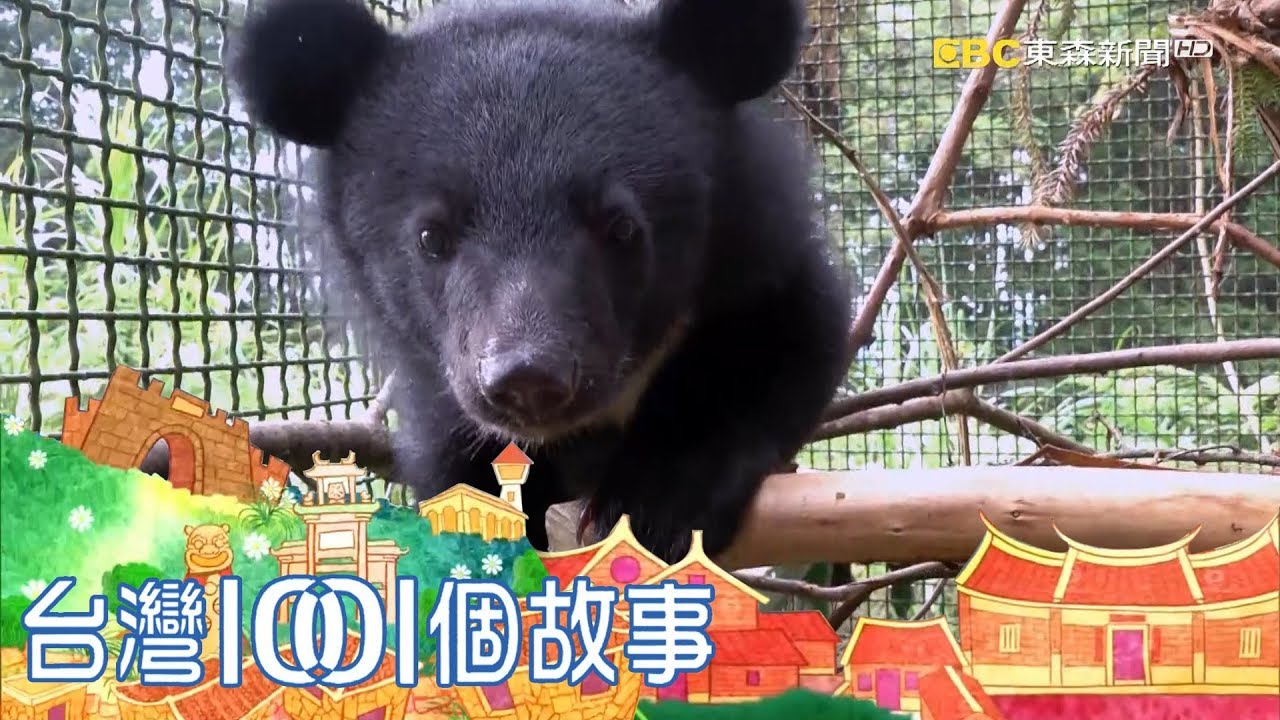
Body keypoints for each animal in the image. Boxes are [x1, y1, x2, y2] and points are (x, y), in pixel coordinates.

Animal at [228, 0, 852, 564]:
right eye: (431, 237)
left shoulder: (759, 245)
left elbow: (784, 336)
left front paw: (659, 504)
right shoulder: (438, 378)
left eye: (622, 228)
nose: (528, 378)